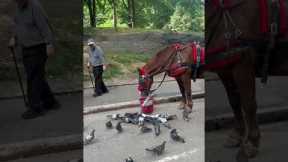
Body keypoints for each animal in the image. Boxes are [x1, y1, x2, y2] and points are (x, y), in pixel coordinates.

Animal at [206, 0, 288, 159]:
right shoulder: (224, 69)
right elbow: (234, 102)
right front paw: (237, 135)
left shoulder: (243, 63)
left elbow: (248, 104)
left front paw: (251, 142)